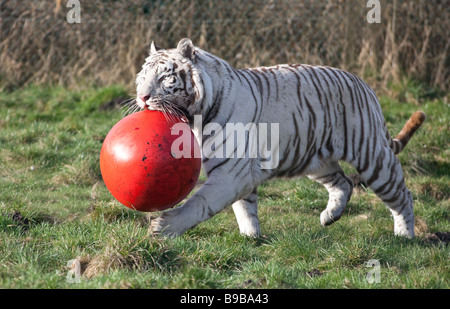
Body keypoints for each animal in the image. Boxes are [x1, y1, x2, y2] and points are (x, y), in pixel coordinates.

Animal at [134, 38, 426, 236]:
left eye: (165, 77)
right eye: (142, 77)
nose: (142, 97)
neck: (197, 114)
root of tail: (364, 84)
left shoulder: (231, 172)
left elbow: (200, 203)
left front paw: (163, 228)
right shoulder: (239, 173)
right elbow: (245, 208)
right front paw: (251, 237)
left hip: (371, 155)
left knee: (402, 194)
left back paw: (404, 236)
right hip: (316, 159)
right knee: (343, 183)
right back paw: (329, 217)